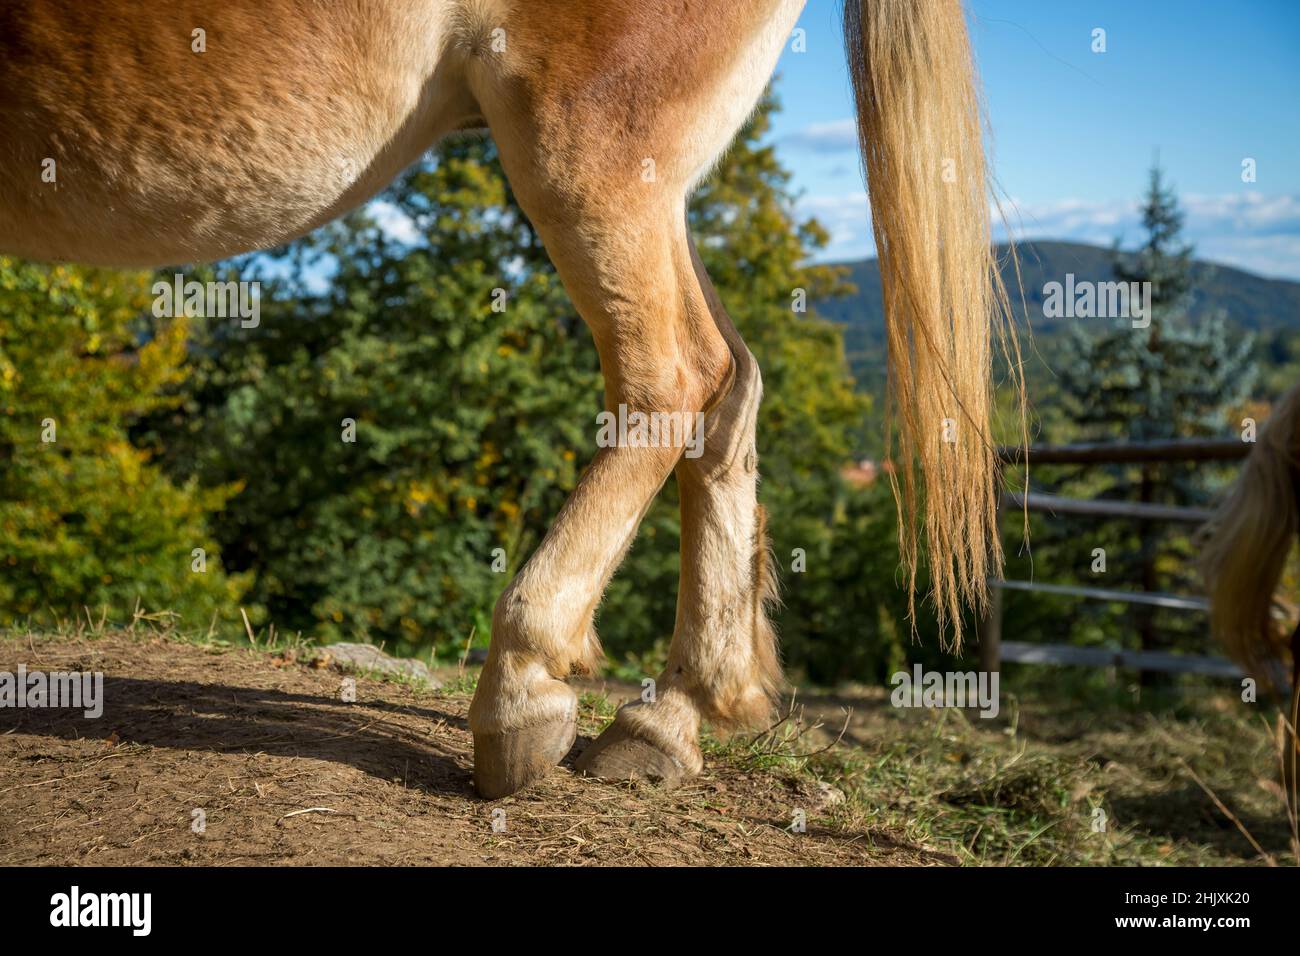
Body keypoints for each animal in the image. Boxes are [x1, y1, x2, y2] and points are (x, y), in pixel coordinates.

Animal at [0, 0, 1010, 798]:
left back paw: (524, 686)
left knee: (675, 378)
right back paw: (669, 718)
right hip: (658, 188)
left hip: (593, 148)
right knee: (734, 382)